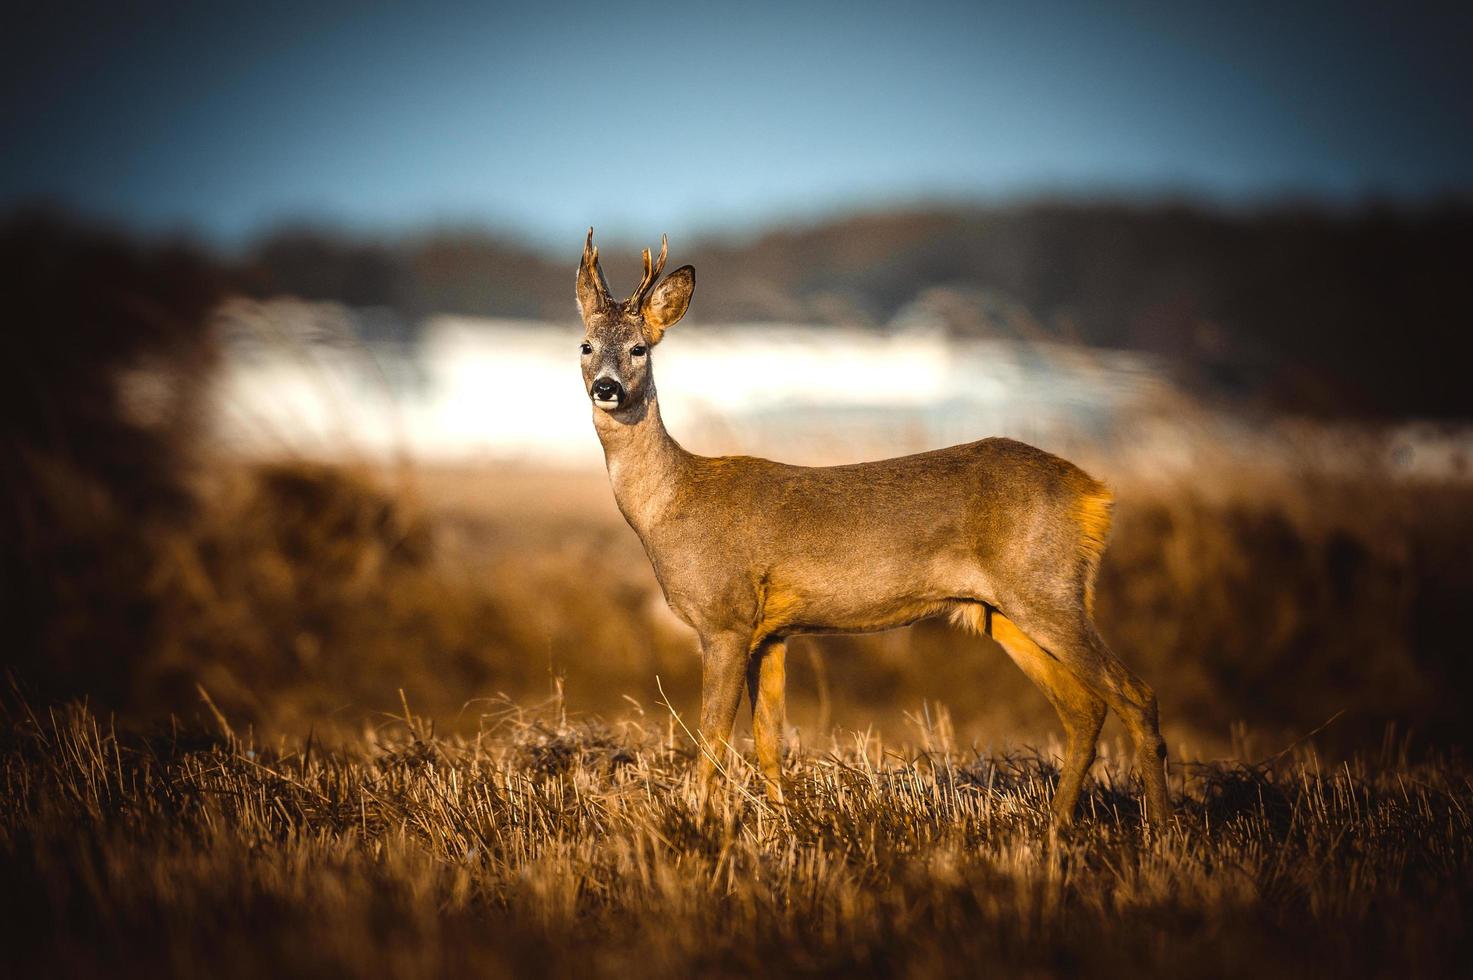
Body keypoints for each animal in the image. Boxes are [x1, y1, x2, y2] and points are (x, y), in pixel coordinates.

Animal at [574, 231, 1172, 825]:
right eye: (586, 345)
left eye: (639, 348)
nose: (606, 387)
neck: (671, 505)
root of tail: (1094, 494)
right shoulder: (773, 632)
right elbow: (768, 739)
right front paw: (784, 823)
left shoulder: (726, 619)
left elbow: (713, 735)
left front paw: (700, 820)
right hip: (1004, 612)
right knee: (1084, 707)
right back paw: (1056, 828)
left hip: (1046, 587)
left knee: (1137, 695)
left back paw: (1160, 831)